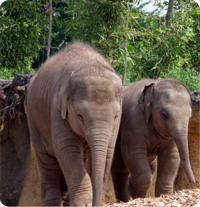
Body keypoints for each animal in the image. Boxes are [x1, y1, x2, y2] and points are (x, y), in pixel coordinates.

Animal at [25, 41, 122, 205]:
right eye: (79, 115)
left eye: (115, 116)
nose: (96, 203)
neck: (89, 64)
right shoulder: (57, 108)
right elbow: (66, 147)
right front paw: (83, 204)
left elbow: (108, 150)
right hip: (33, 118)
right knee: (47, 160)